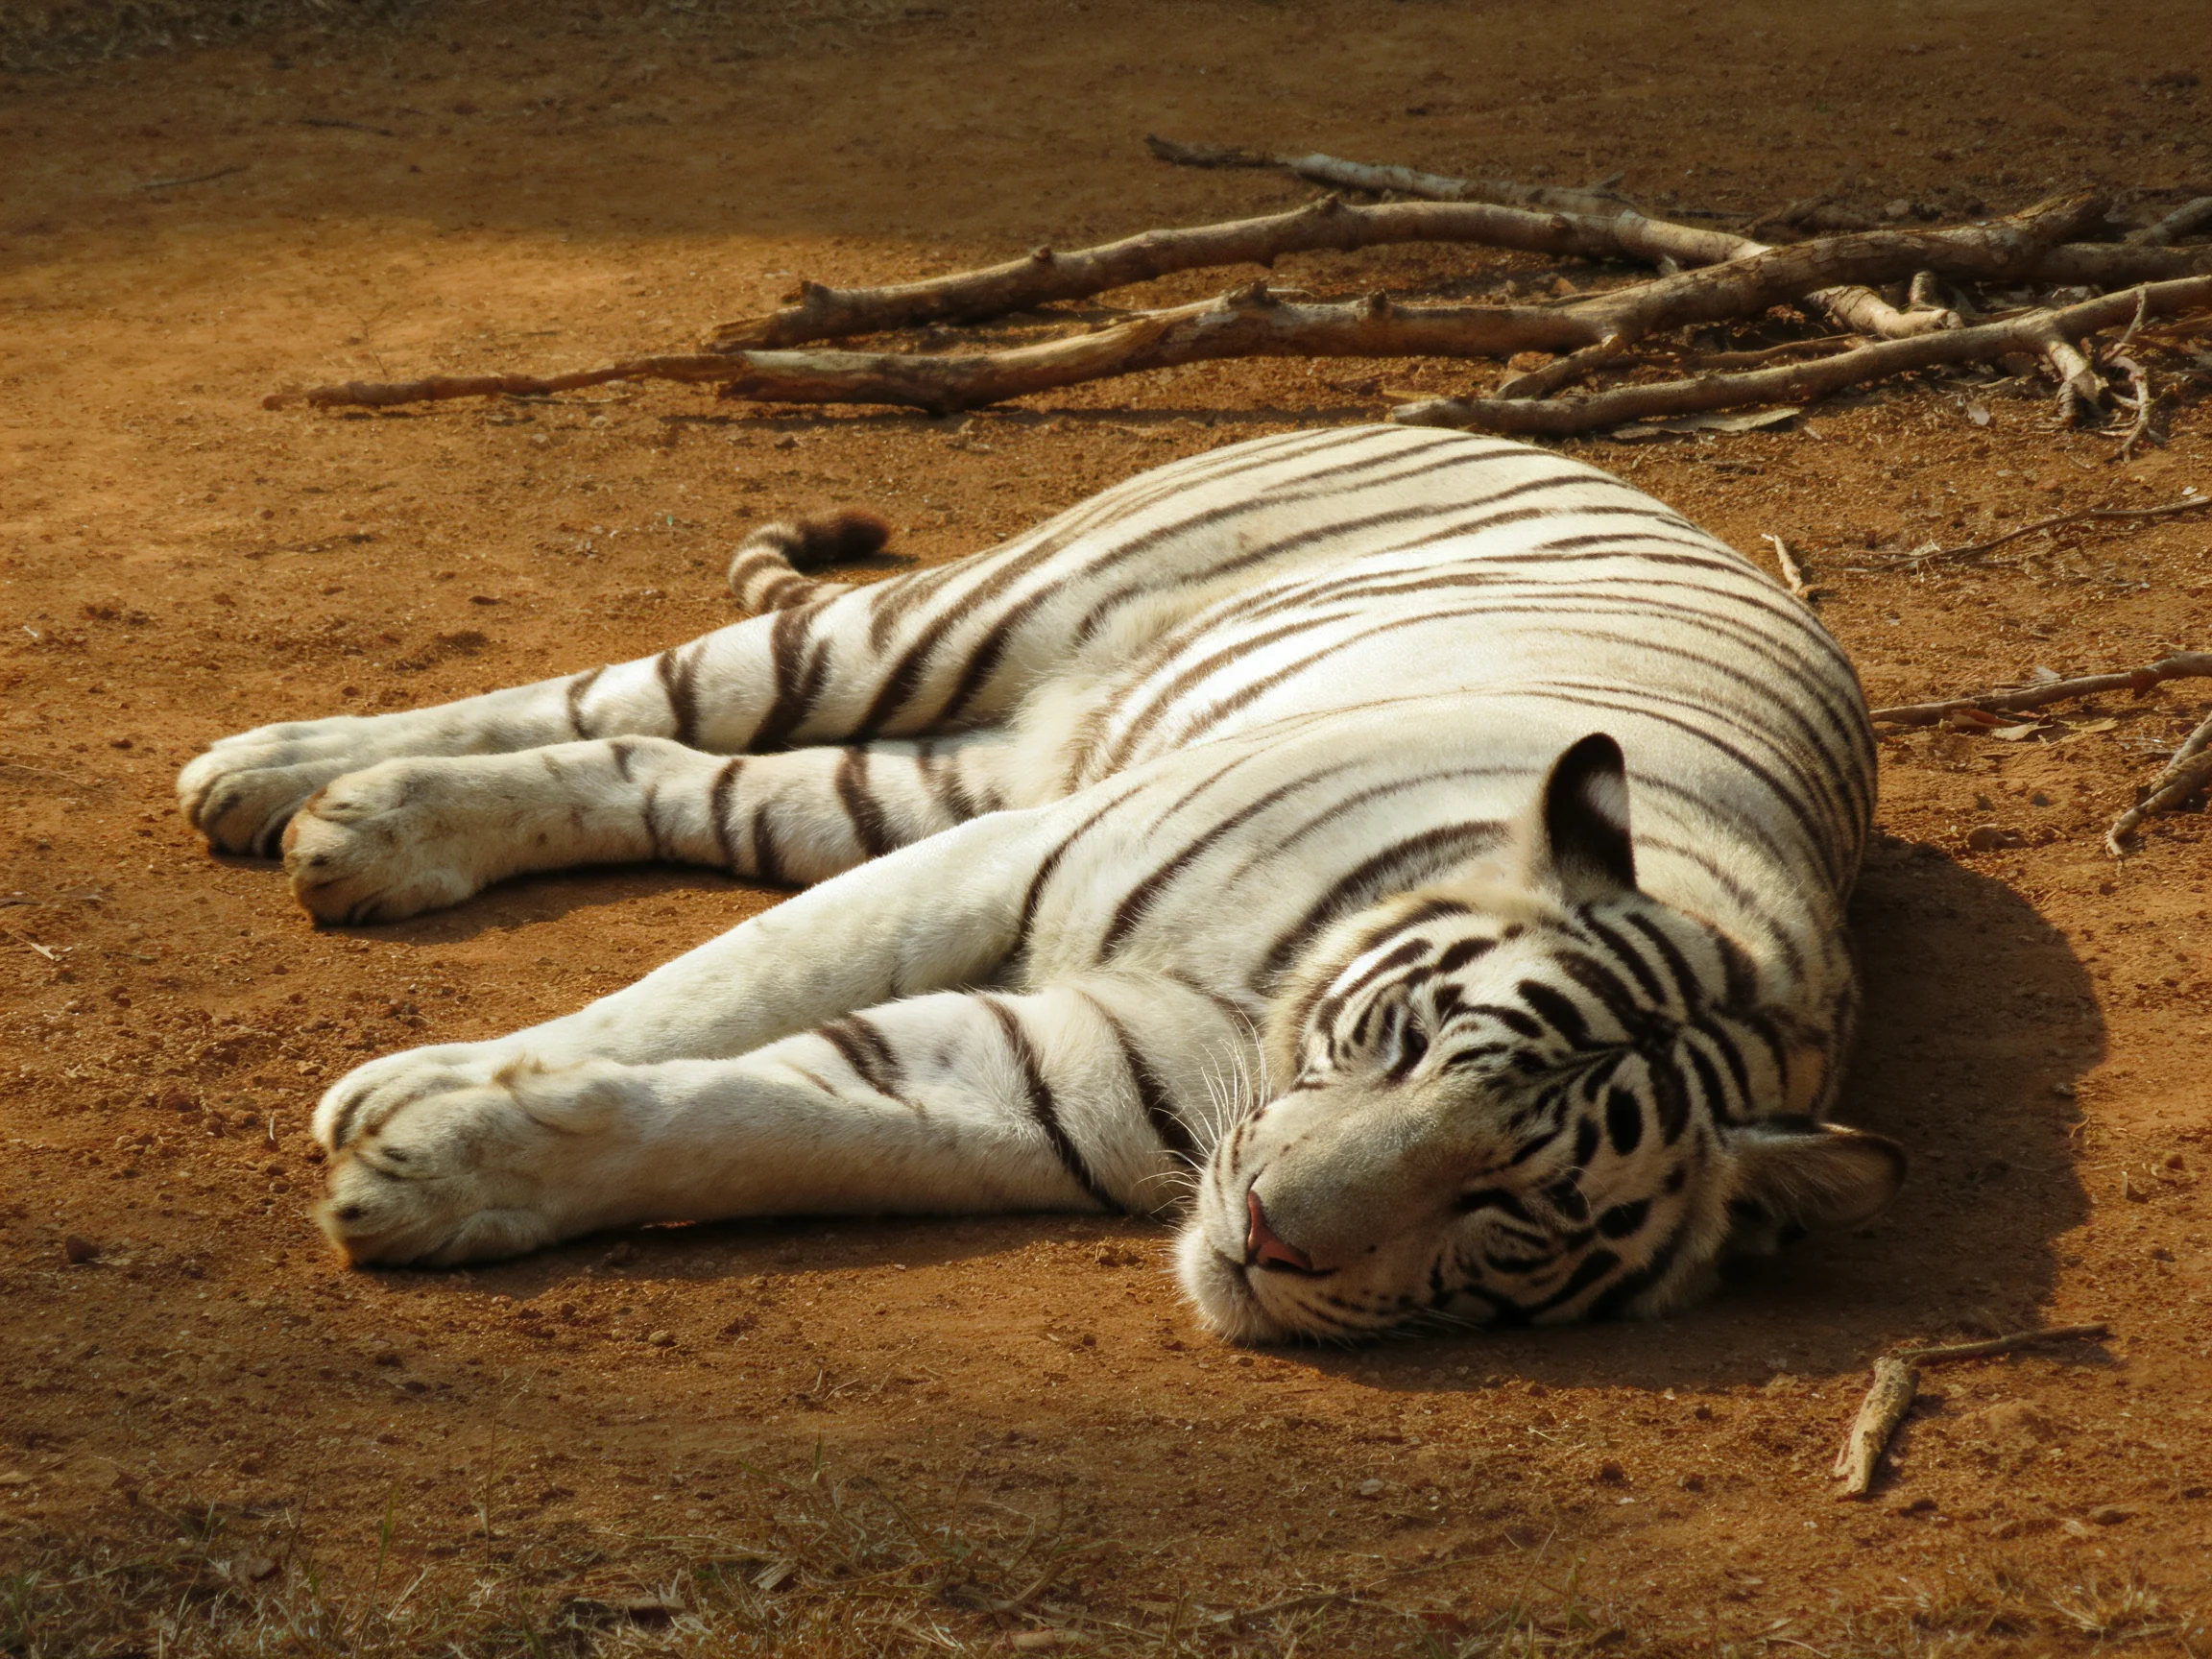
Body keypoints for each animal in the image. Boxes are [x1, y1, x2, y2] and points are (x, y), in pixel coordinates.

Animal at [176, 423, 1903, 1343]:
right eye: (1405, 1047)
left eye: (1512, 1205)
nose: (1264, 1236)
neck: (1271, 1024)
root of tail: (1503, 424)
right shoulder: (1012, 858)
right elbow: (699, 993)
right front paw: (415, 1086)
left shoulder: (1053, 1072)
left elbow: (752, 1115)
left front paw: (434, 1166)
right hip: (926, 633)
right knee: (621, 691)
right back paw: (282, 778)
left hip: (926, 774)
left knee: (659, 767)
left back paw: (359, 827)